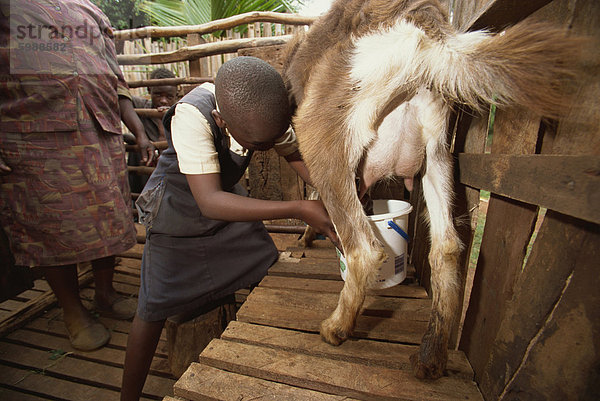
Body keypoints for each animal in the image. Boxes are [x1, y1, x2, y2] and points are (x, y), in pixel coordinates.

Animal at [284, 0, 580, 378]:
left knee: (365, 250)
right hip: (436, 152)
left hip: (322, 133)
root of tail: (420, 17)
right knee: (447, 247)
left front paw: (306, 238)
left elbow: (312, 196)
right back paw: (431, 356)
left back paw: (336, 329)